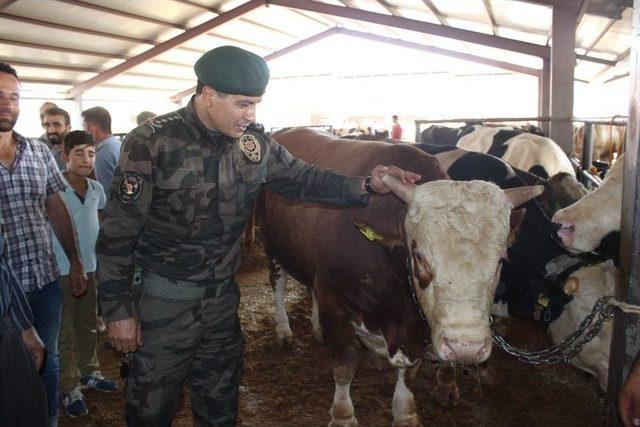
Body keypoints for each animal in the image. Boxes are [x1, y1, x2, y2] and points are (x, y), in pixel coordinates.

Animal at [260, 129, 540, 426]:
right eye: (419, 256)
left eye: (500, 261)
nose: (465, 347)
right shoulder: (334, 302)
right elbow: (344, 366)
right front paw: (343, 415)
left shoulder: (417, 325)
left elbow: (410, 371)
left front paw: (405, 412)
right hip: (272, 246)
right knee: (278, 284)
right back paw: (284, 331)